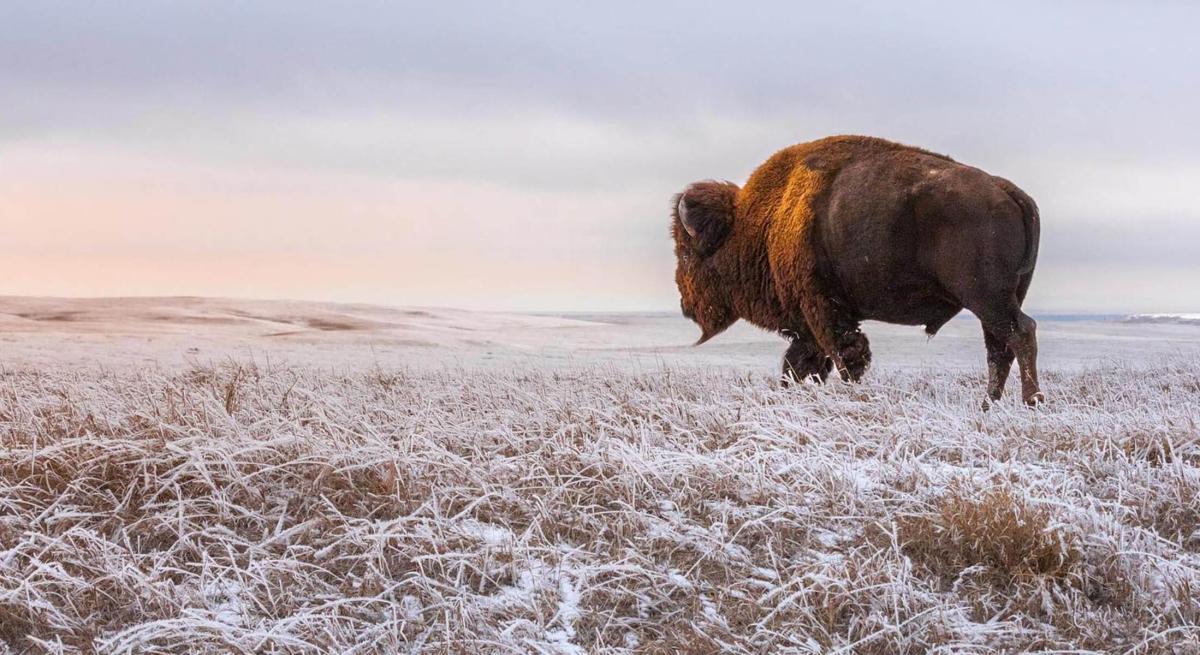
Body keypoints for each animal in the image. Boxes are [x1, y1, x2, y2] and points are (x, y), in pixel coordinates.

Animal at [672, 133, 1046, 403]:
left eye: (687, 253)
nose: (685, 305)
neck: (757, 224)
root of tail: (1006, 189)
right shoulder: (810, 322)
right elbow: (801, 363)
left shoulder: (822, 307)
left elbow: (846, 356)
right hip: (1000, 298)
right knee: (999, 347)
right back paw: (989, 404)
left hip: (986, 295)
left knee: (1019, 334)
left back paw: (1031, 401)